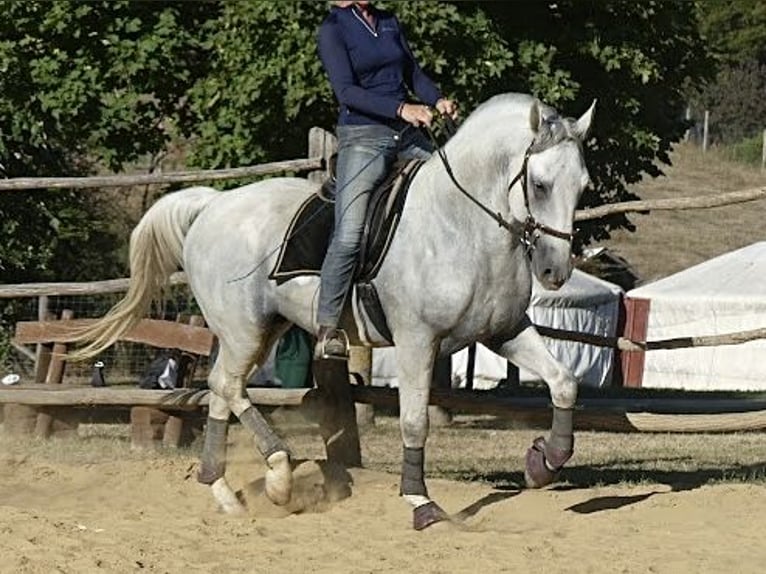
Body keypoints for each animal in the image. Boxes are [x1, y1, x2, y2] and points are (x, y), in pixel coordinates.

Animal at [71, 92, 595, 530]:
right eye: (540, 184)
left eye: (582, 186)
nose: (554, 271)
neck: (462, 225)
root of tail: (214, 204)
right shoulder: (417, 341)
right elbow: (415, 422)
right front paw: (420, 503)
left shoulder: (504, 331)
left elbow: (564, 383)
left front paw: (544, 461)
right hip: (244, 330)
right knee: (227, 387)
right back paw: (279, 474)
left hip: (259, 332)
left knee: (223, 391)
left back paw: (225, 493)